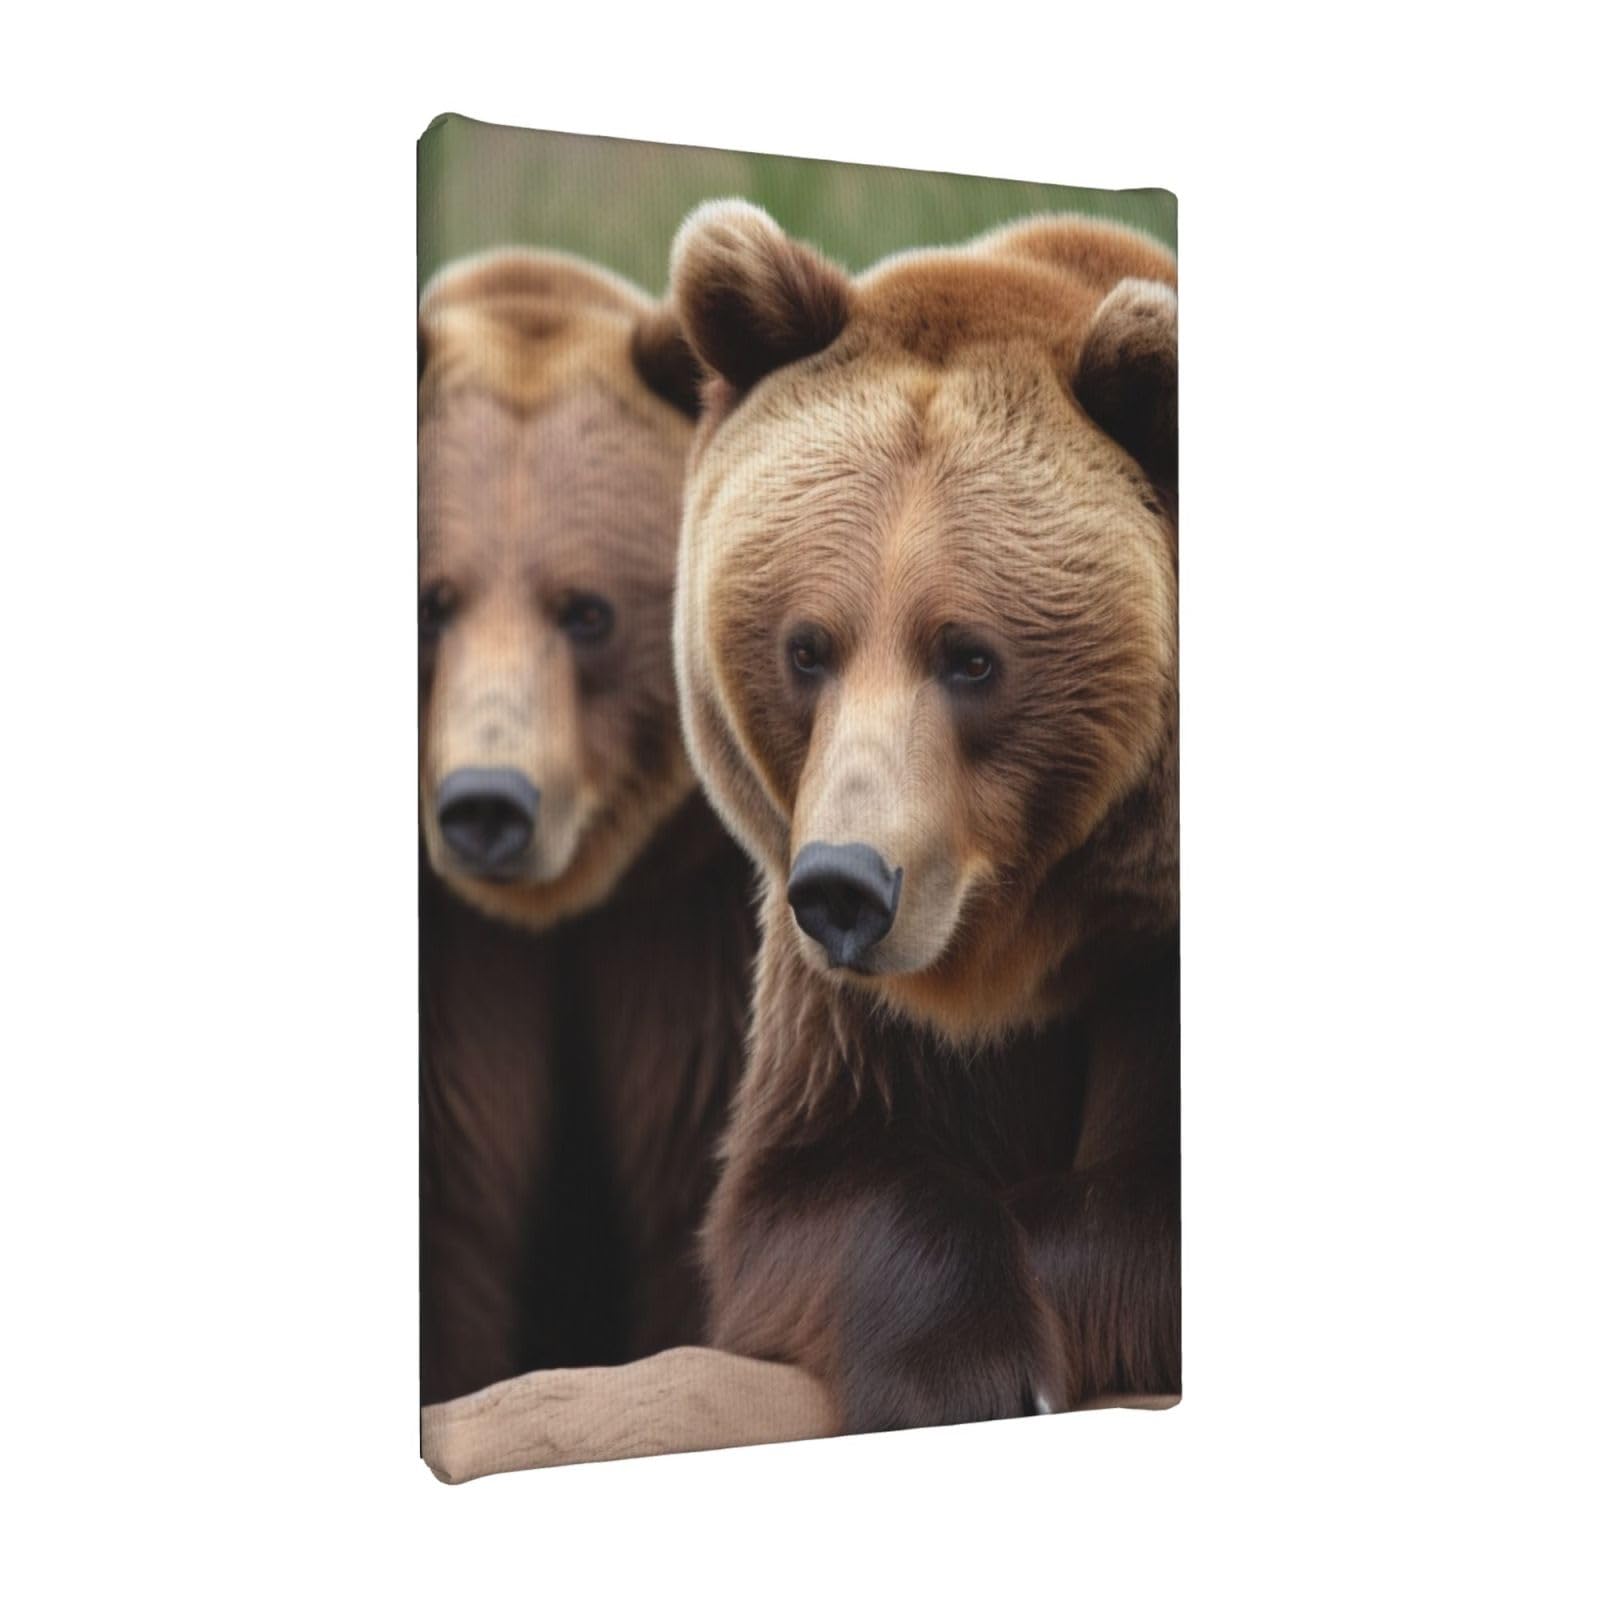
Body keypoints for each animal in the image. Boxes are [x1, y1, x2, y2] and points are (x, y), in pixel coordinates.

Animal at [667, 201, 1179, 1434]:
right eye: (806, 646)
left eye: (971, 656)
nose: (847, 887)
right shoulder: (854, 1008)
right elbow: (807, 1190)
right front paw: (962, 1361)